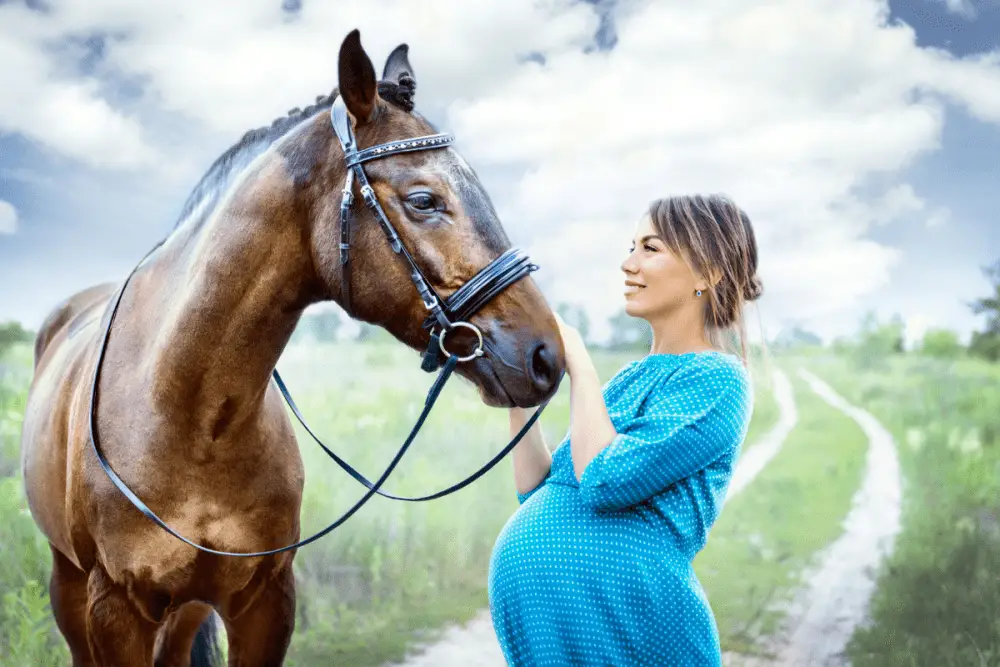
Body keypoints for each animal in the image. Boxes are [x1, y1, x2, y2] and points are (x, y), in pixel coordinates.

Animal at [19, 31, 564, 667]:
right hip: (68, 583)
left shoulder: (265, 601)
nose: (546, 357)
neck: (192, 420)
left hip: (187, 609)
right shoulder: (115, 609)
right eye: (424, 200)